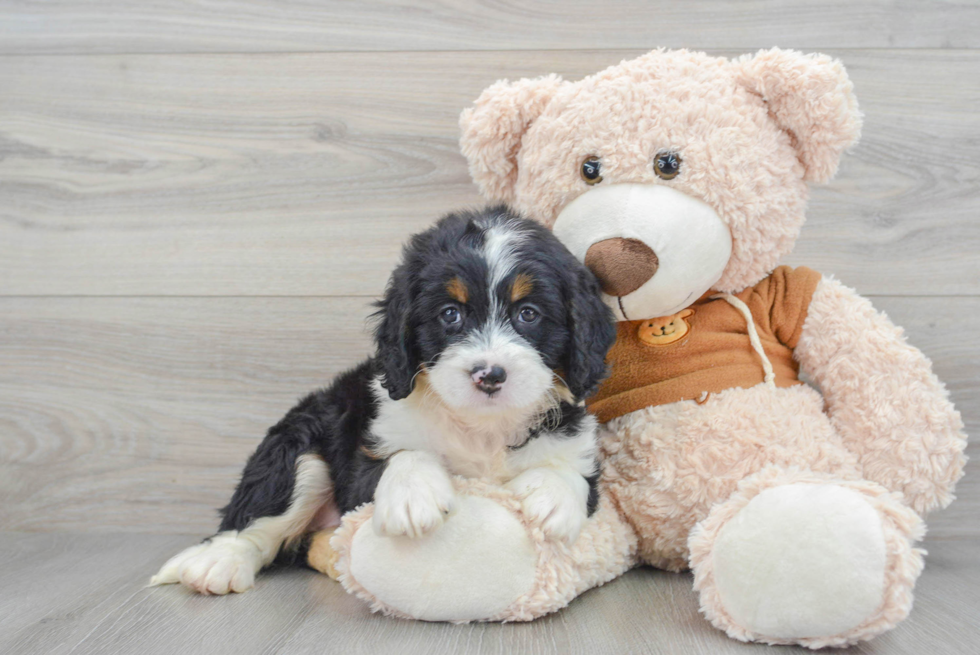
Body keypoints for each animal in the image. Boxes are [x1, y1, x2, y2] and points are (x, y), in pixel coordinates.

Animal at [150, 208, 616, 596]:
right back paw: (217, 562)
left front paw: (551, 497)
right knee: (257, 515)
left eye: (528, 314)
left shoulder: (577, 445)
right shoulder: (365, 458)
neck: (481, 428)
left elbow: (570, 472)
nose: (489, 375)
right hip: (298, 446)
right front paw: (415, 494)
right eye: (450, 314)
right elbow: (403, 454)